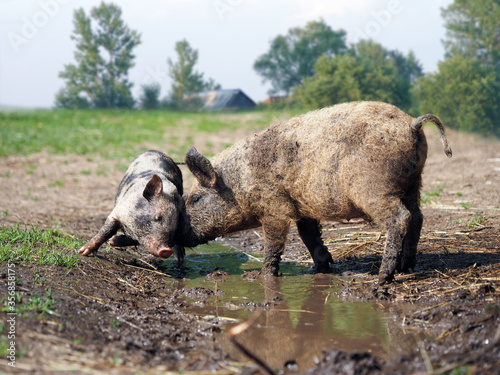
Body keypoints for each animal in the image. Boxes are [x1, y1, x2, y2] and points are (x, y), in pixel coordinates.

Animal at [176, 101, 454, 284]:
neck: (239, 182)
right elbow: (308, 234)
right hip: (414, 181)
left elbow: (274, 243)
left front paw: (260, 276)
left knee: (400, 217)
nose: (178, 233)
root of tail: (411, 124)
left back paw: (383, 278)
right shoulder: (301, 206)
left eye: (195, 198)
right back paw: (407, 267)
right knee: (417, 216)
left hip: (373, 188)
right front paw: (320, 268)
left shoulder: (275, 207)